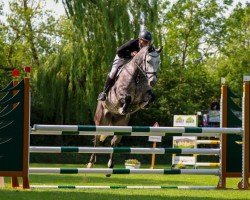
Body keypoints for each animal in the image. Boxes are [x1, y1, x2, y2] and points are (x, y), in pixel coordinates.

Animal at [88, 45, 162, 177]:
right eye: (148, 61)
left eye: (159, 62)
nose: (153, 81)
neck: (138, 76)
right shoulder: (119, 93)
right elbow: (127, 98)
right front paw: (123, 108)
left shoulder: (145, 93)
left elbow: (150, 97)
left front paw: (141, 105)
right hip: (101, 121)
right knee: (96, 140)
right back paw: (91, 163)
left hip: (120, 125)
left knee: (114, 142)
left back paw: (110, 167)